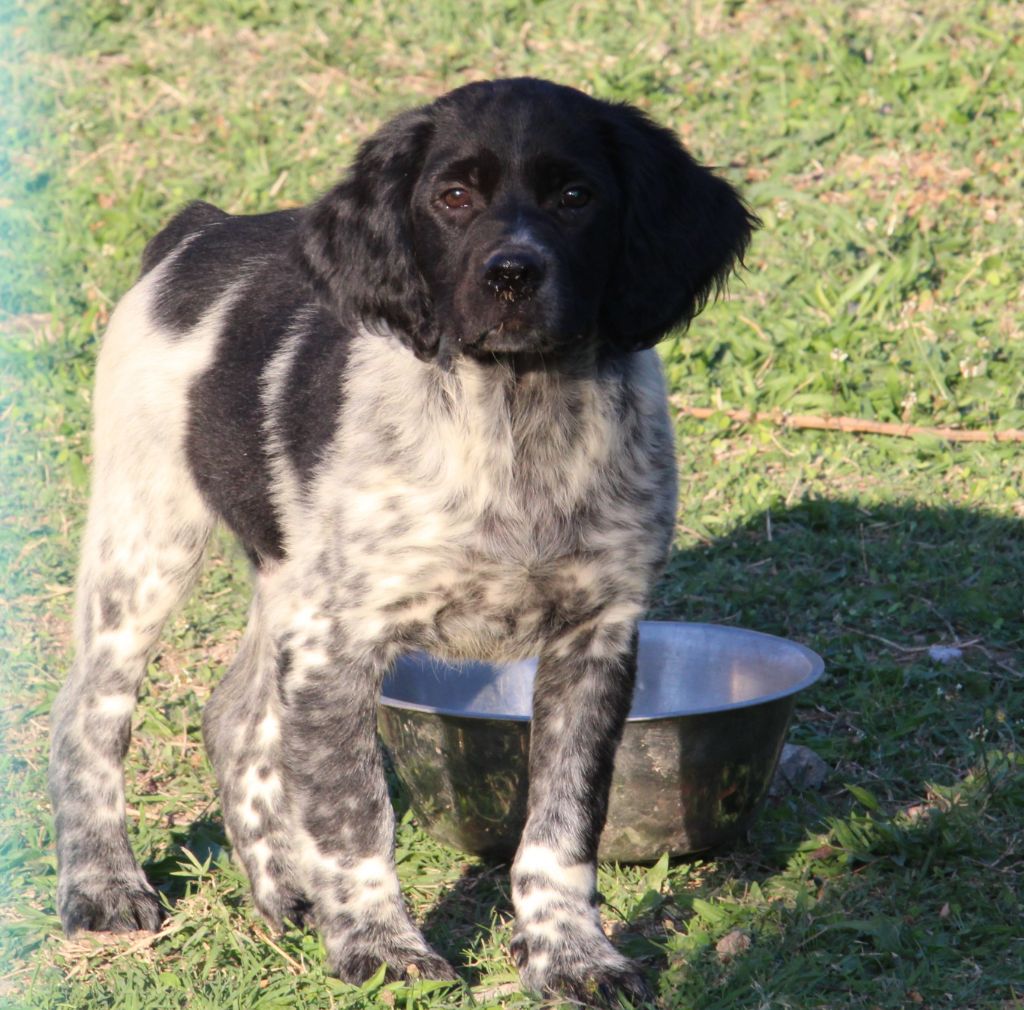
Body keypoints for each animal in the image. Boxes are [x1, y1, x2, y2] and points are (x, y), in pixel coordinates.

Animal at [49, 77, 754, 1003]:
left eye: (576, 197)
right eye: (451, 198)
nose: (512, 275)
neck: (514, 418)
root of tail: (202, 229)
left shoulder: (594, 638)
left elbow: (561, 826)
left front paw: (570, 953)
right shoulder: (338, 645)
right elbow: (355, 814)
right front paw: (381, 948)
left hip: (284, 578)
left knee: (234, 714)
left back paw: (283, 888)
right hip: (148, 539)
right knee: (90, 712)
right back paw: (102, 883)